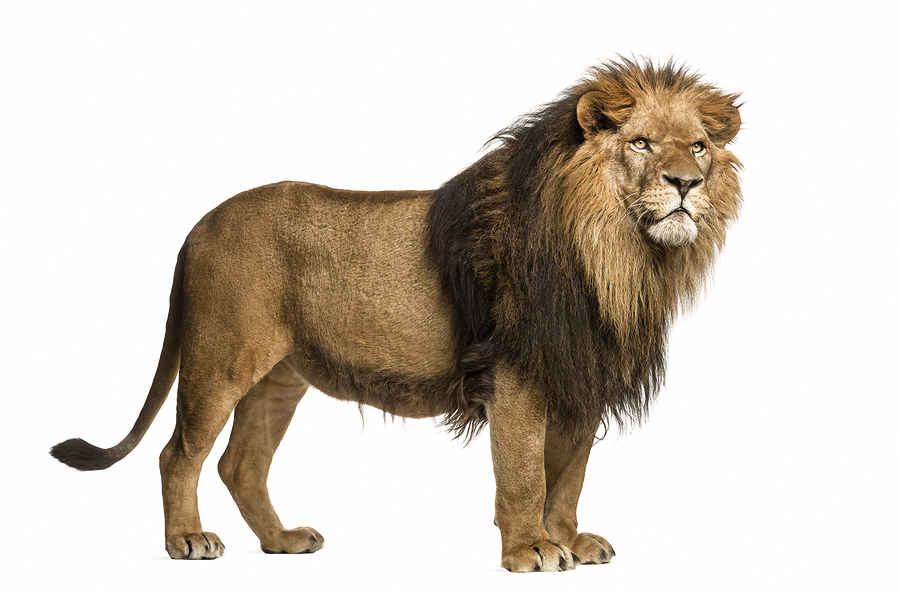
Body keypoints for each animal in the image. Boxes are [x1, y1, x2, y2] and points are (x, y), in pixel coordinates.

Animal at [50, 57, 743, 572]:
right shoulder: (515, 374)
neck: (619, 256)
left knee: (239, 462)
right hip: (220, 356)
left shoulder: (582, 372)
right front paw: (531, 551)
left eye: (699, 147)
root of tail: (198, 225)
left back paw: (283, 542)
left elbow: (569, 473)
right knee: (179, 453)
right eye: (641, 143)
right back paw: (186, 541)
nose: (686, 184)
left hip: (282, 375)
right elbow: (524, 472)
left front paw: (568, 540)